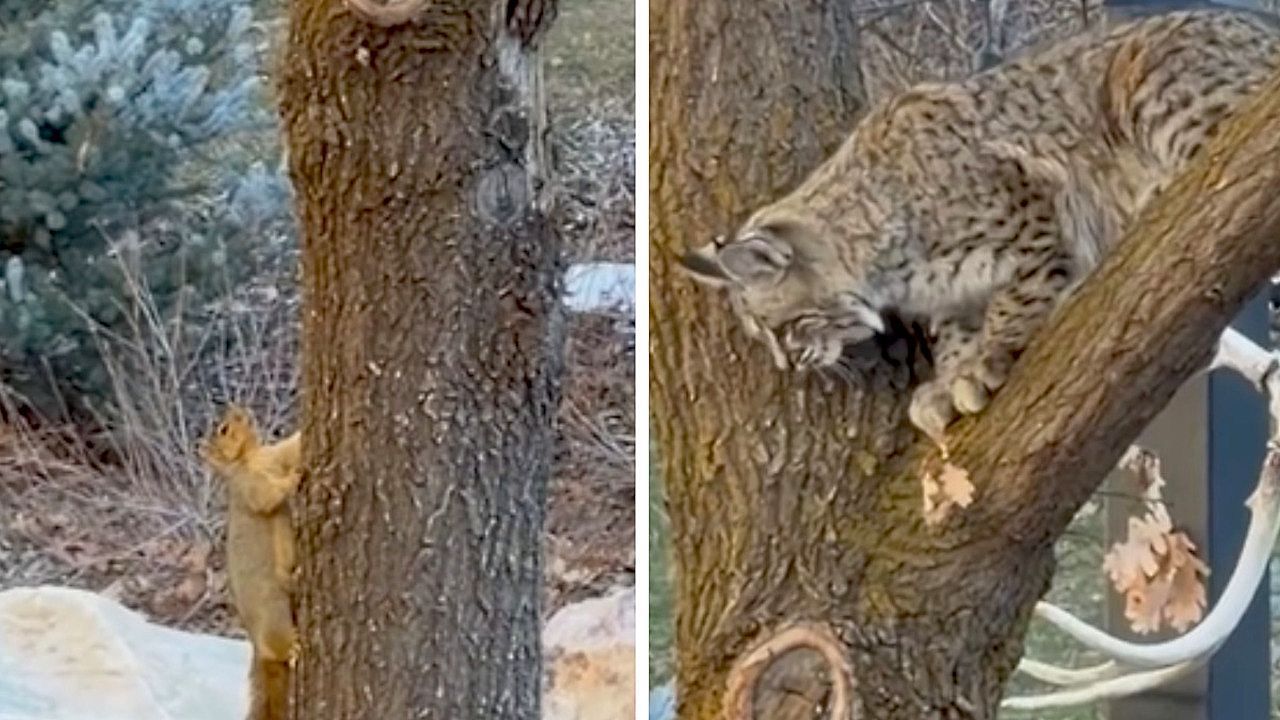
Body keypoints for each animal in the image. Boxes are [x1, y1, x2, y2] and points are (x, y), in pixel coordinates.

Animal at [199, 404, 301, 720]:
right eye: (223, 429)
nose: (240, 409)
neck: (250, 457)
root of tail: (256, 643)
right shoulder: (249, 487)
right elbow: (267, 497)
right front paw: (294, 479)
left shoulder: (275, 455)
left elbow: (292, 448)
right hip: (273, 614)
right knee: (280, 646)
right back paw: (295, 645)